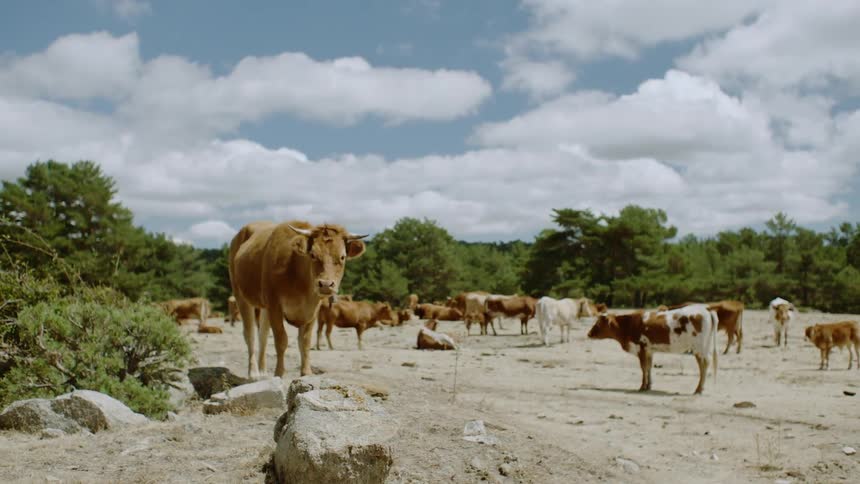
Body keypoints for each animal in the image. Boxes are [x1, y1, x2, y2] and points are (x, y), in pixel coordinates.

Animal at [229, 220, 367, 379]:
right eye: (313, 255)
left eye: (342, 257)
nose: (325, 284)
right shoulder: (274, 304)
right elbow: (281, 340)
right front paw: (279, 373)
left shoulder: (312, 310)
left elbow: (305, 341)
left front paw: (306, 372)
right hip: (240, 295)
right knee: (249, 334)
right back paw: (253, 372)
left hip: (263, 306)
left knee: (263, 334)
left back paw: (263, 370)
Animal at [587, 305, 718, 394]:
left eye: (598, 324)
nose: (589, 334)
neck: (628, 325)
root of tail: (705, 310)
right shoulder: (649, 350)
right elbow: (649, 367)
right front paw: (649, 386)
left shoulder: (641, 348)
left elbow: (643, 368)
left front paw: (642, 387)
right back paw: (700, 388)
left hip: (699, 348)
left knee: (704, 365)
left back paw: (698, 389)